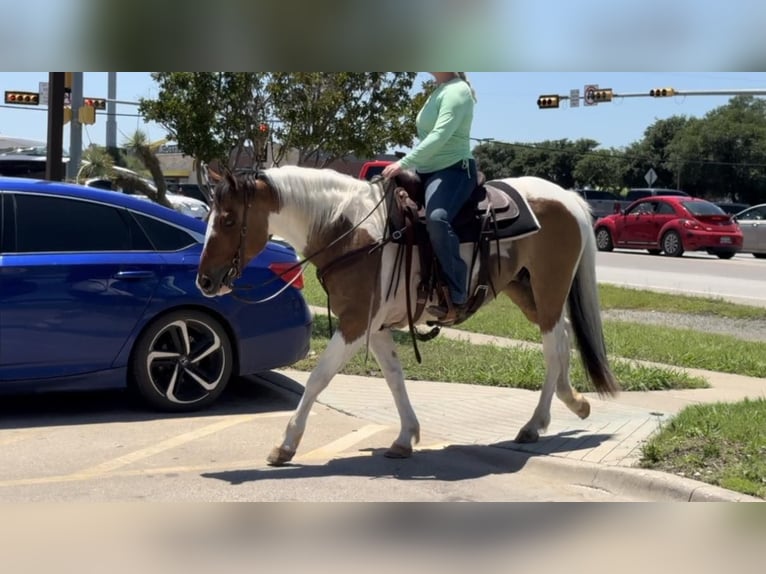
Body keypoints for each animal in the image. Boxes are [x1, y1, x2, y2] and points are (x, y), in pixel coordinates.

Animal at [195, 166, 620, 468]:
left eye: (229, 220)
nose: (205, 281)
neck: (346, 229)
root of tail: (567, 197)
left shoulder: (355, 323)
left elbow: (318, 379)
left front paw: (285, 445)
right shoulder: (377, 326)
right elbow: (395, 378)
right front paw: (405, 438)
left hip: (549, 288)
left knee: (552, 348)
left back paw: (535, 424)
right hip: (525, 289)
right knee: (562, 337)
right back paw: (573, 401)